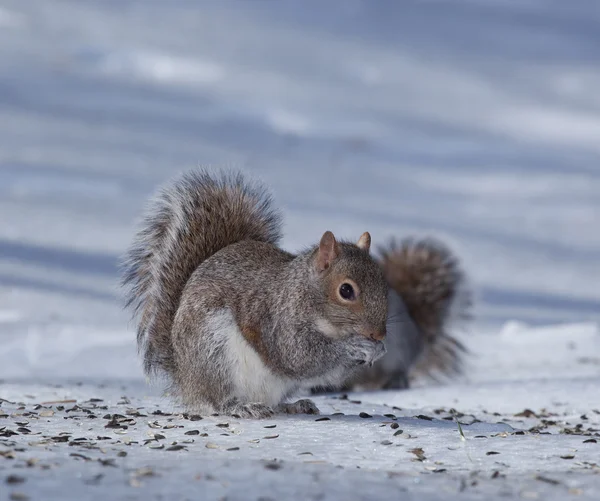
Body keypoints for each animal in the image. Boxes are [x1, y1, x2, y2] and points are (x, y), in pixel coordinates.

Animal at [120, 170, 468, 416]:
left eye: (386, 285)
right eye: (346, 290)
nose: (378, 333)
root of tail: (183, 375)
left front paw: (376, 350)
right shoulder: (275, 318)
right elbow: (297, 356)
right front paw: (354, 347)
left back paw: (293, 405)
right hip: (213, 351)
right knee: (214, 401)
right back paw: (239, 406)